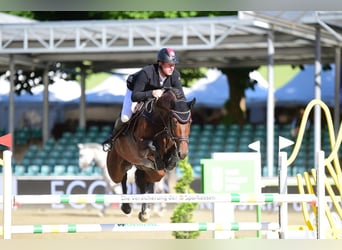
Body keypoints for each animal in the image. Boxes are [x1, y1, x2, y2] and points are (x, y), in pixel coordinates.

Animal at [107, 87, 198, 222]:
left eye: (190, 121)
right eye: (174, 121)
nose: (183, 152)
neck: (159, 121)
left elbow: (171, 152)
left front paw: (171, 160)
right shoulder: (139, 146)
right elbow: (152, 145)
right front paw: (159, 159)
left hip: (150, 171)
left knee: (141, 179)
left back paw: (144, 212)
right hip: (115, 168)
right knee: (122, 176)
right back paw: (127, 208)